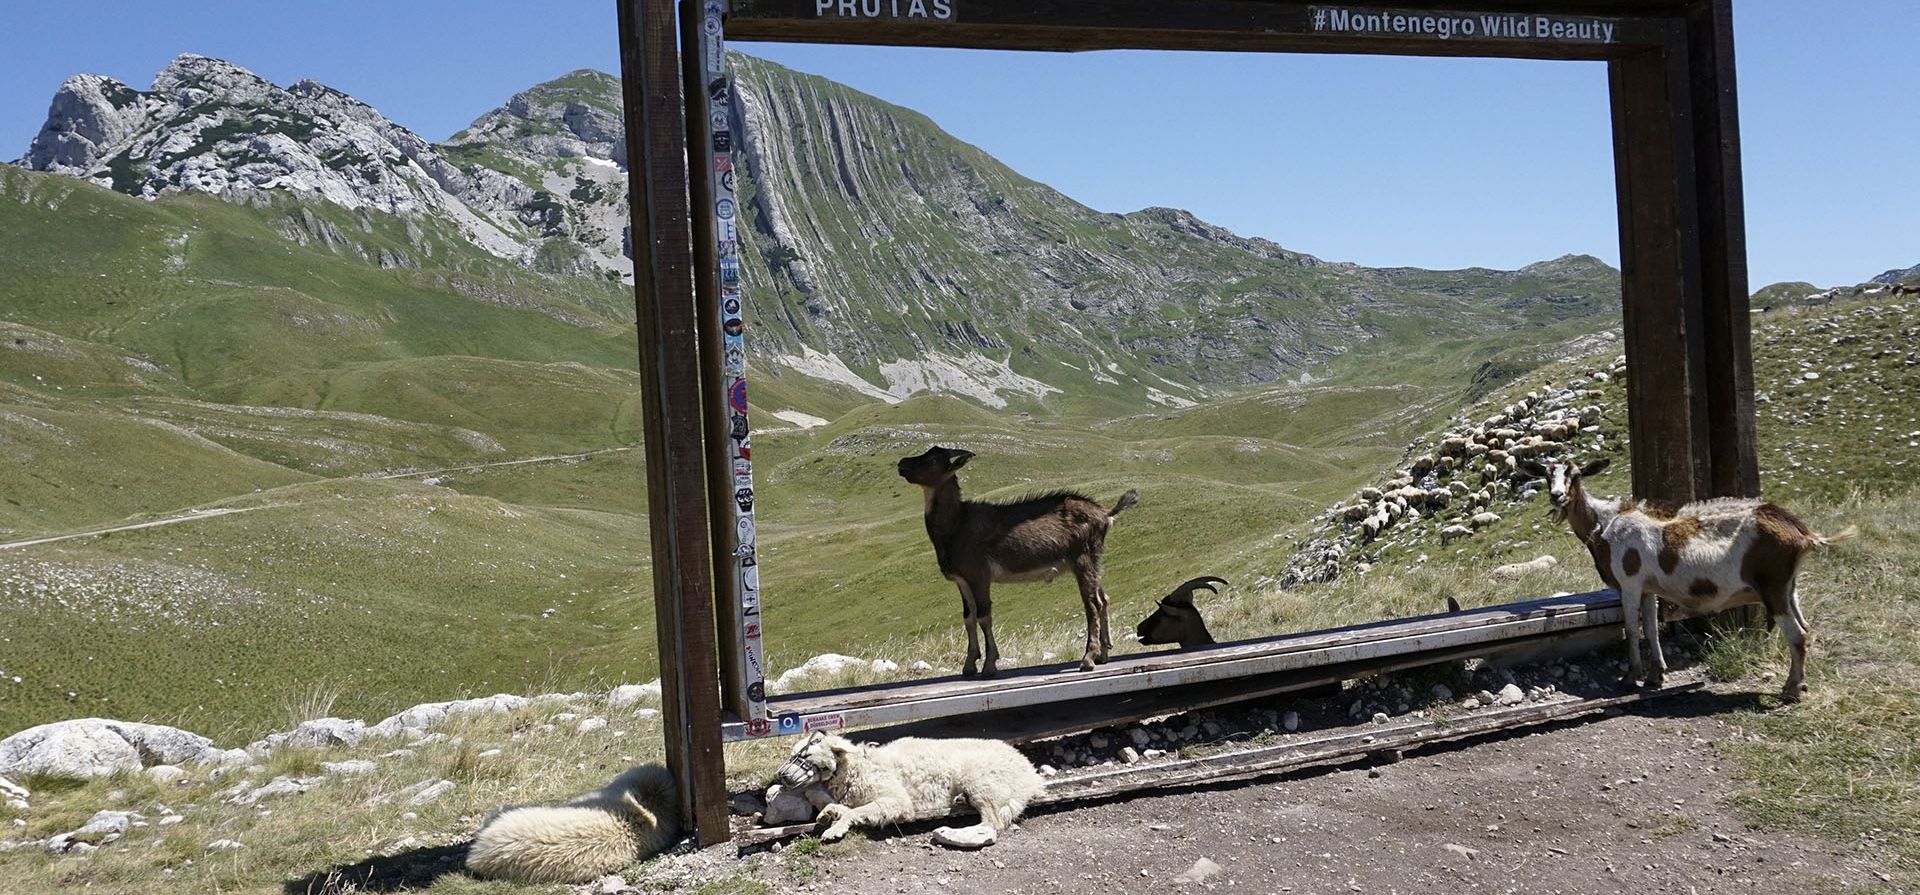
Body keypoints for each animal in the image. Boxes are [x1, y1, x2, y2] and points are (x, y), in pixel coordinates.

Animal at [897, 446, 1138, 676]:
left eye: (933, 460)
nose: (902, 464)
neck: (957, 524)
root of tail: (1106, 514)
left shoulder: (979, 575)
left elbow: (984, 616)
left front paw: (989, 665)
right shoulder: (962, 580)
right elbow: (968, 618)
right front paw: (969, 666)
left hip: (1083, 559)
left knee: (1092, 604)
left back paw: (1088, 658)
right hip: (1094, 561)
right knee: (1103, 599)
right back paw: (1103, 655)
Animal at [1533, 457, 1855, 700]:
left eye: (1575, 475)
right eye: (1547, 476)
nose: (1557, 496)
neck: (1605, 524)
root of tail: (1802, 533)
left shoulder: (1629, 583)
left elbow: (1632, 629)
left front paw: (1630, 676)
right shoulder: (1648, 588)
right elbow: (1650, 628)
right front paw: (1656, 675)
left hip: (1773, 587)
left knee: (1797, 635)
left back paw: (1790, 690)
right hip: (1790, 588)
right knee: (1806, 628)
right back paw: (1801, 683)